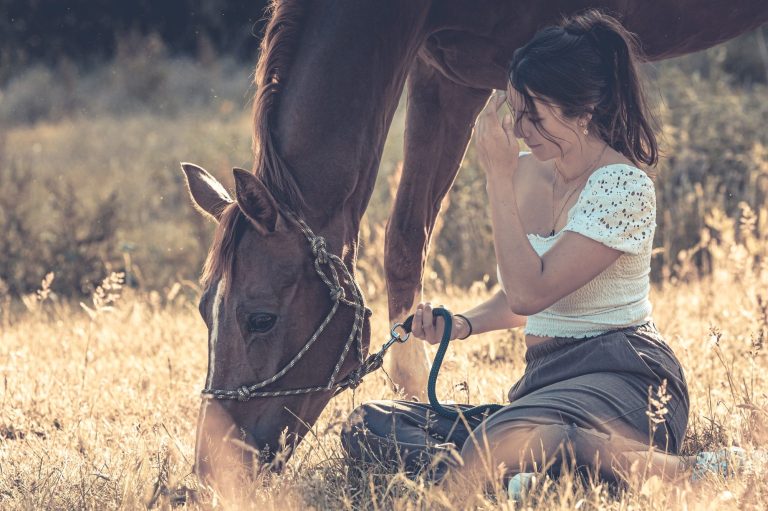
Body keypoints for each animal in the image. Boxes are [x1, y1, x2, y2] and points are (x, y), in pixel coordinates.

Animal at [182, 0, 768, 488]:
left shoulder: (481, 76)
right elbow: (404, 238)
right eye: (204, 310)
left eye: (260, 319)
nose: (215, 469)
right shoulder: (437, 69)